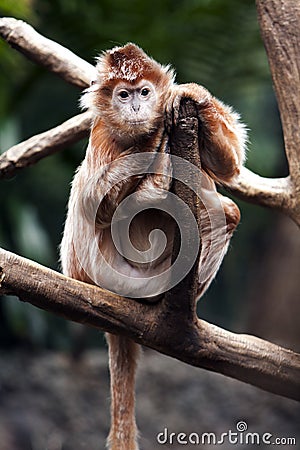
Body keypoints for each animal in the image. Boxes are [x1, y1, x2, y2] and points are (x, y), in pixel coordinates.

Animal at [59, 43, 247, 450]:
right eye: (123, 95)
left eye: (144, 92)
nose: (135, 108)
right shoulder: (101, 134)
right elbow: (95, 206)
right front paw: (152, 138)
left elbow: (229, 166)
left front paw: (191, 94)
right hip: (108, 272)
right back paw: (155, 184)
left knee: (227, 209)